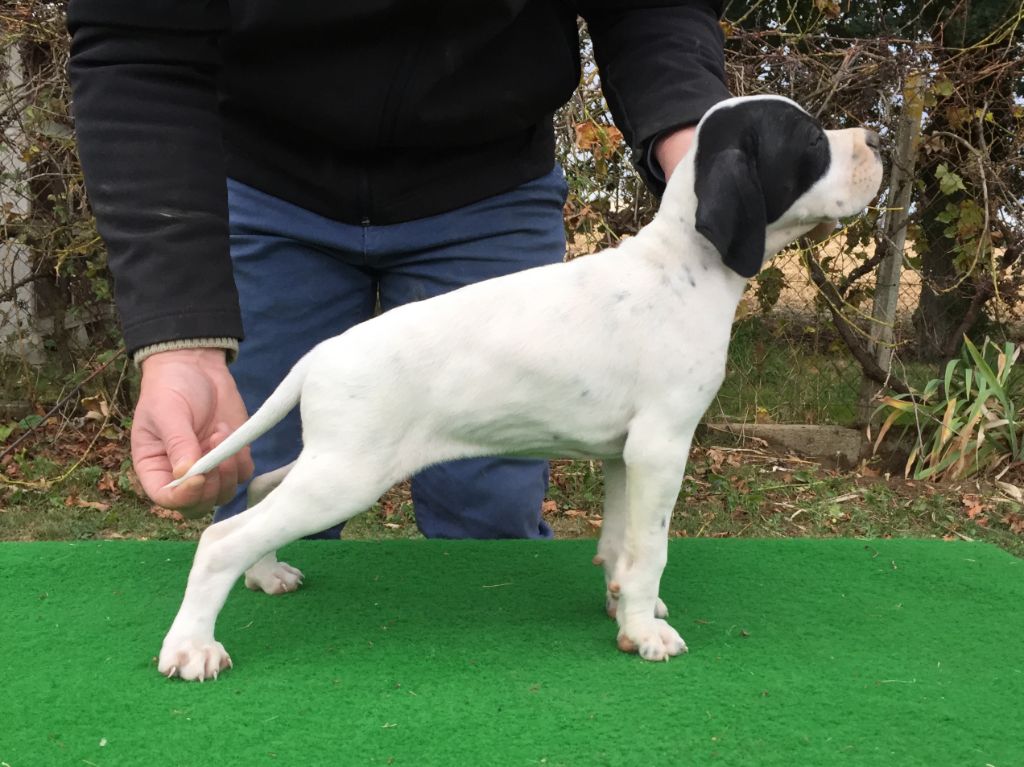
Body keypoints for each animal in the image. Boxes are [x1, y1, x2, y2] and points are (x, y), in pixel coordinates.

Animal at [157, 94, 880, 675]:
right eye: (811, 142)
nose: (874, 138)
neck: (682, 268)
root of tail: (321, 353)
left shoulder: (625, 456)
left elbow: (622, 546)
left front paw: (625, 606)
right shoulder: (660, 446)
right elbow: (651, 549)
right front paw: (644, 633)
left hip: (336, 463)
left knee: (257, 490)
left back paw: (267, 574)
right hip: (348, 474)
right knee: (222, 538)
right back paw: (192, 646)